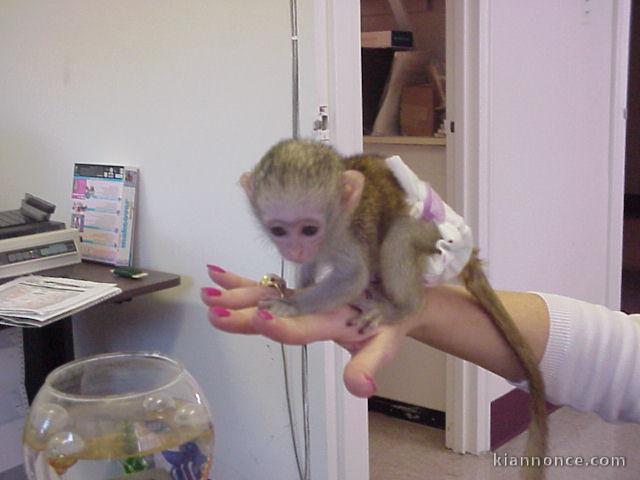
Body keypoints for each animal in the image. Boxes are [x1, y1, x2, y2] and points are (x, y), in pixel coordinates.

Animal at [240, 139, 547, 480]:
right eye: (279, 230)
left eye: (309, 229)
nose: (294, 249)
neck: (332, 229)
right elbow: (310, 267)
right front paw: (295, 286)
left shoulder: (347, 234)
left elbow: (352, 277)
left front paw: (292, 304)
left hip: (435, 238)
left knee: (400, 235)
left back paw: (402, 307)